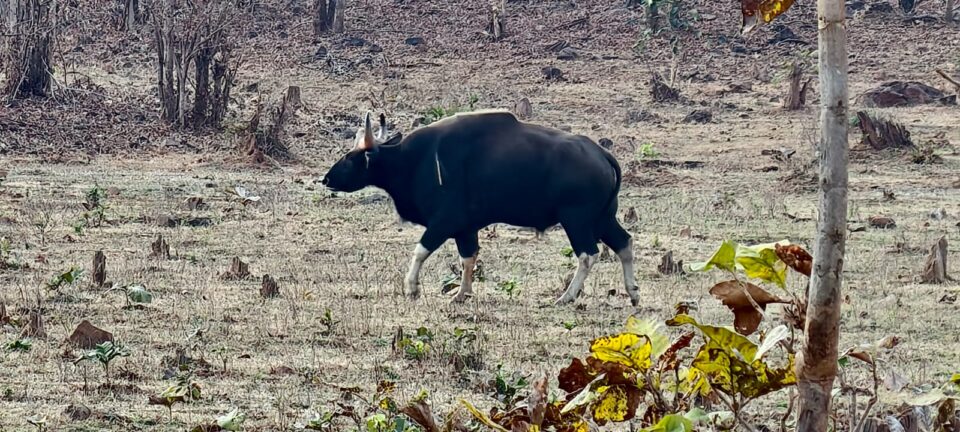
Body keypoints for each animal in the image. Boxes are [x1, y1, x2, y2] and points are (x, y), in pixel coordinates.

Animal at [320, 109, 640, 306]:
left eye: (349, 158)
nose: (326, 179)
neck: (415, 161)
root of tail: (601, 153)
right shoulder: (466, 228)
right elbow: (468, 257)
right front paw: (462, 294)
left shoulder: (445, 221)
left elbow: (420, 250)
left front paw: (411, 287)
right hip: (603, 217)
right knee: (624, 243)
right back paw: (633, 293)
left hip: (577, 219)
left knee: (588, 254)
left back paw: (567, 296)